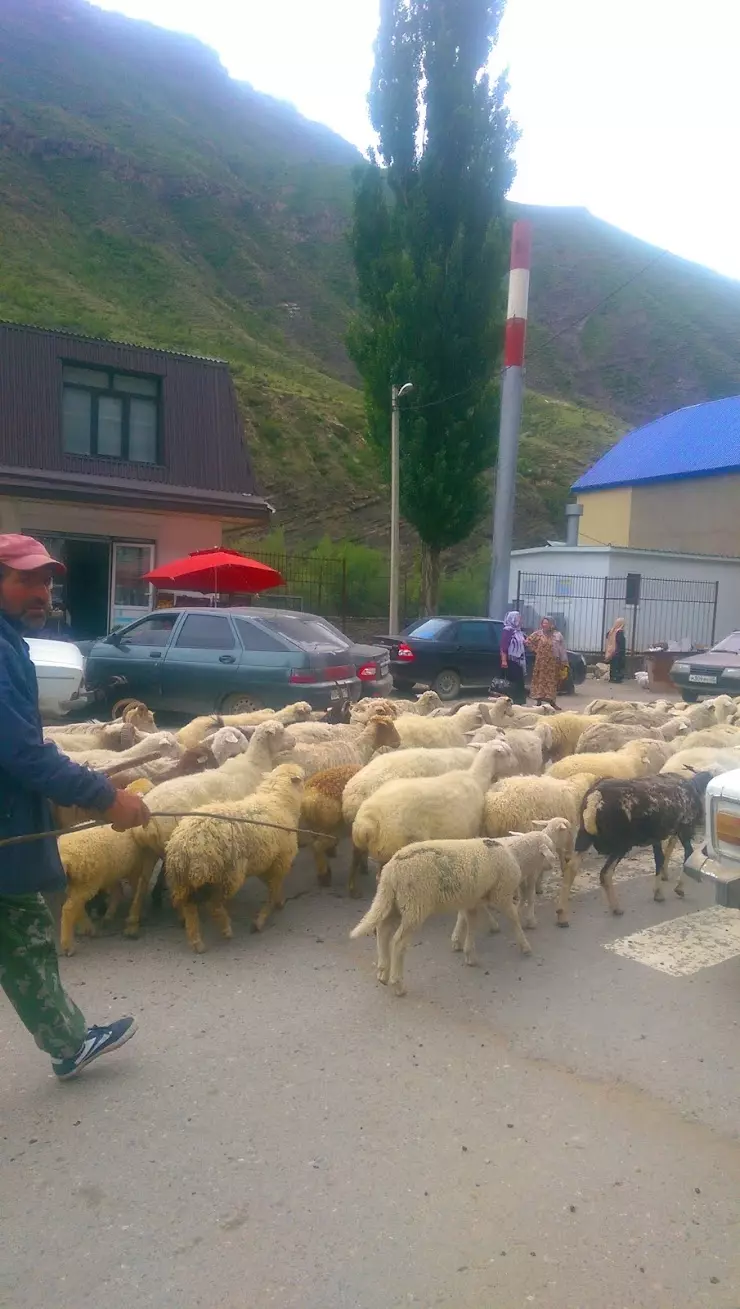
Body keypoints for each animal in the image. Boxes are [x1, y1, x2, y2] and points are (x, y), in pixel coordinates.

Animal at [165, 759, 306, 952]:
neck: (277, 801)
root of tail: (182, 845)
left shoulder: (265, 861)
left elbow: (272, 886)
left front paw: (278, 902)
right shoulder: (281, 860)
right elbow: (273, 888)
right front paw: (265, 915)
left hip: (184, 881)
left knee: (189, 908)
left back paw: (197, 943)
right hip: (225, 874)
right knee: (213, 905)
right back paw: (226, 930)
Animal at [348, 837, 534, 989]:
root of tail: (391, 870)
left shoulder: (471, 900)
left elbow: (470, 923)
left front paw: (468, 953)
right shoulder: (502, 895)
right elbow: (514, 919)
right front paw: (525, 946)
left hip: (394, 902)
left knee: (383, 931)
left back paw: (383, 972)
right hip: (414, 905)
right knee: (398, 942)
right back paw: (397, 984)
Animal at [351, 738, 513, 869]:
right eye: (508, 752)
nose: (515, 765)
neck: (476, 778)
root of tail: (366, 823)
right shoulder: (469, 831)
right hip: (395, 847)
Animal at [568, 764, 712, 921]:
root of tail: (595, 799)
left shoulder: (658, 835)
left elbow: (660, 858)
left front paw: (658, 891)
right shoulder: (684, 829)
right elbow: (687, 854)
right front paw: (678, 888)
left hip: (584, 837)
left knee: (571, 868)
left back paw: (562, 915)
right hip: (621, 845)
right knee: (605, 874)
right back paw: (616, 908)